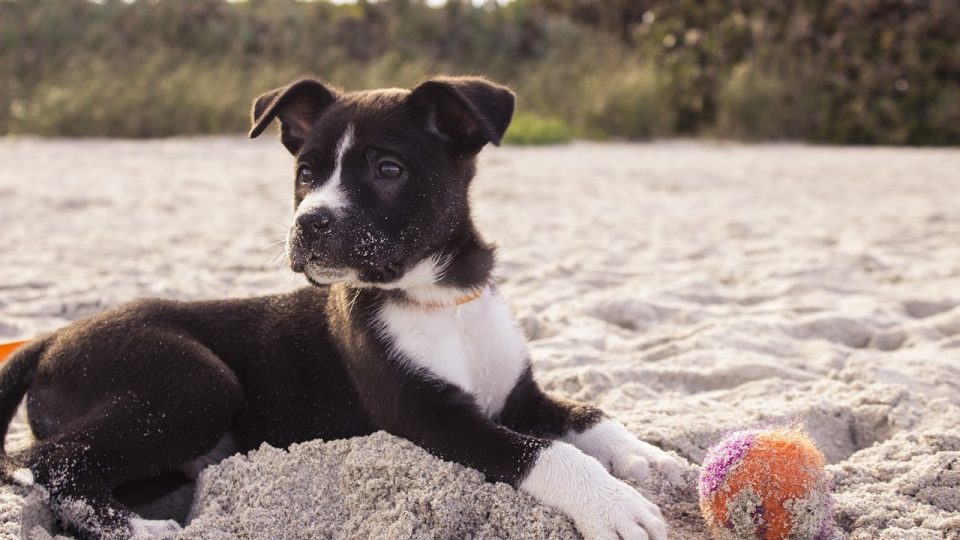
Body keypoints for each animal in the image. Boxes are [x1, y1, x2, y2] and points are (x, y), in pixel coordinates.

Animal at [0, 77, 684, 540]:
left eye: (388, 169)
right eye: (305, 173)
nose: (308, 223)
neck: (440, 298)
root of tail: (50, 340)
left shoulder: (518, 395)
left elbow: (587, 415)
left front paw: (647, 456)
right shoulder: (428, 416)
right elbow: (543, 451)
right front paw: (613, 505)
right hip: (195, 381)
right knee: (46, 465)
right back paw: (145, 530)